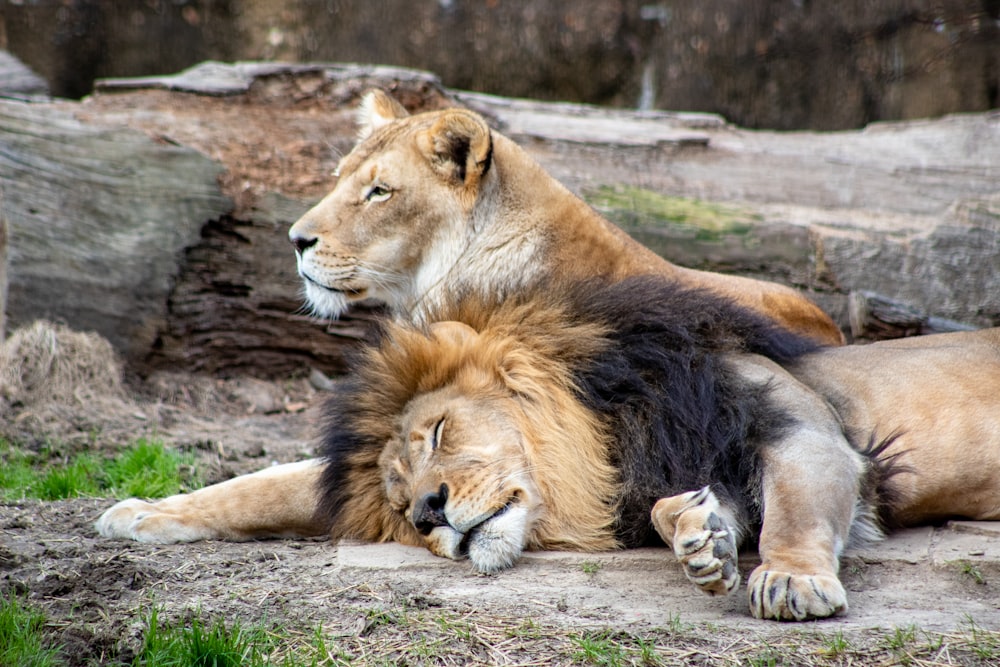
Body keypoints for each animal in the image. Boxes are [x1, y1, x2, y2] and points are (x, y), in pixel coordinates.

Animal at [95, 276, 1000, 620]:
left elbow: (798, 510)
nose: (428, 512)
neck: (600, 443)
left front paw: (789, 578)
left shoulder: (797, 425)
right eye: (396, 495)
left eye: (439, 432)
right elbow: (265, 485)